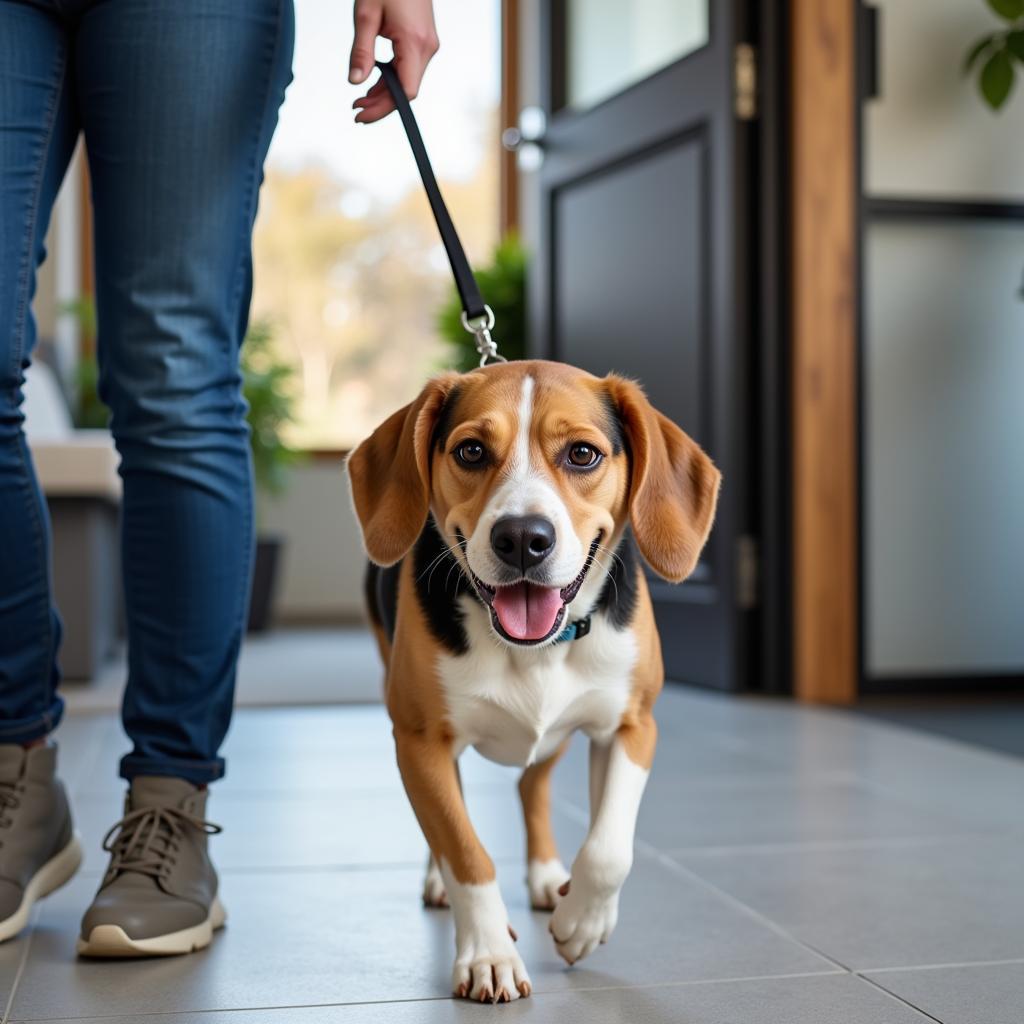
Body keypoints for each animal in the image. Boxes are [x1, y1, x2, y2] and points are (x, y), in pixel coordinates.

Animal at [348, 358, 716, 999]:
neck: (536, 649)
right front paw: (488, 954)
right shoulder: (419, 740)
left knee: (531, 785)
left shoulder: (631, 726)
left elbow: (609, 848)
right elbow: (465, 850)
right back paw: (440, 880)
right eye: (470, 451)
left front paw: (582, 922)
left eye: (583, 455)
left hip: (557, 736)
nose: (522, 537)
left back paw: (547, 877)